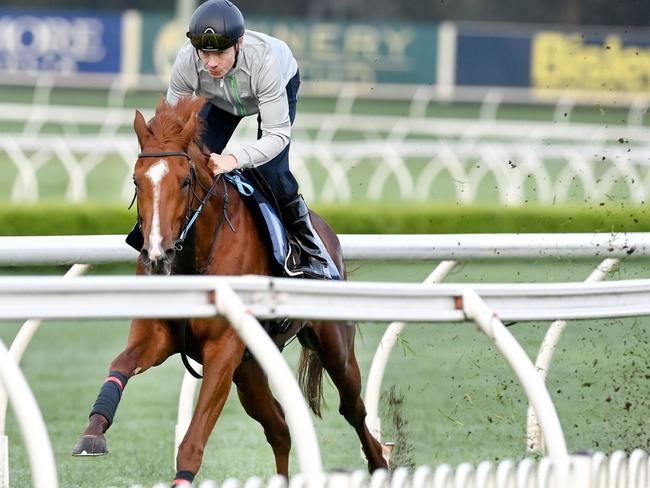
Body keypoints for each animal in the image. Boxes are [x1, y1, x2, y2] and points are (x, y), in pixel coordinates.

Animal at [72, 96, 384, 484]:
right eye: (136, 180)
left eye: (185, 181)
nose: (157, 254)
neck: (192, 259)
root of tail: (326, 232)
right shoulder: (159, 335)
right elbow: (121, 363)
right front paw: (92, 432)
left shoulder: (223, 348)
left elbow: (193, 440)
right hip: (250, 370)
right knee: (279, 427)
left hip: (333, 347)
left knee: (353, 408)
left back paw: (381, 464)